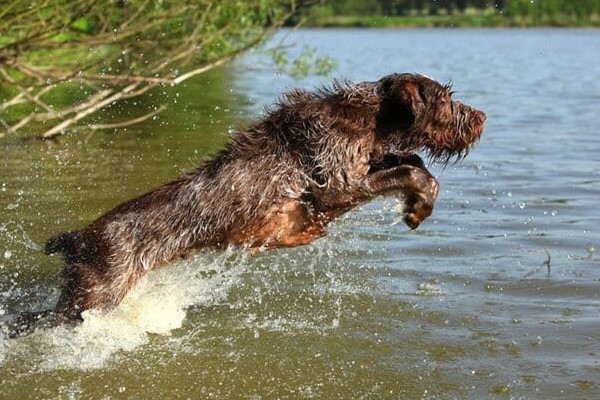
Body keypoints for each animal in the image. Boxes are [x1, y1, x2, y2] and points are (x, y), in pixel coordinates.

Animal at [43, 72, 482, 322]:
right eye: (446, 99)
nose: (482, 117)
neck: (370, 117)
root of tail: (76, 238)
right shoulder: (336, 186)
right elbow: (409, 169)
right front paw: (419, 202)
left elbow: (411, 160)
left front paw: (419, 200)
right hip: (94, 297)